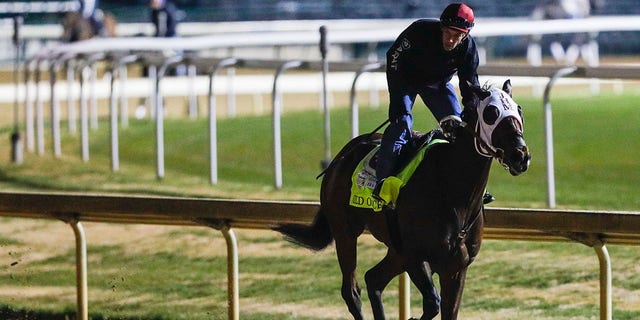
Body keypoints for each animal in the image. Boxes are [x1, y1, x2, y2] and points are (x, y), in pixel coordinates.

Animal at [276, 80, 528, 320]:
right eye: (491, 113)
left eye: (518, 110)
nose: (520, 156)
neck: (451, 190)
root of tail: (343, 155)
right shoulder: (414, 256)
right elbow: (432, 303)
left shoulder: (455, 267)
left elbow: (447, 310)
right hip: (345, 230)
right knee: (352, 291)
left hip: (394, 249)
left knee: (373, 279)